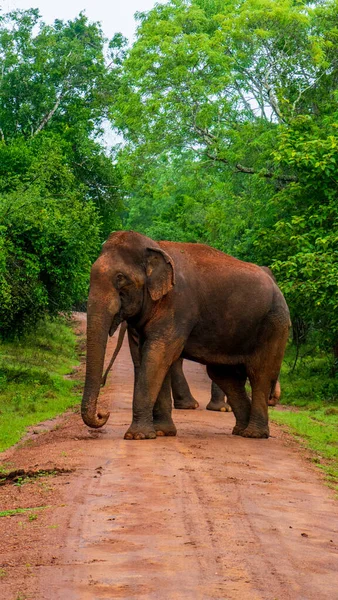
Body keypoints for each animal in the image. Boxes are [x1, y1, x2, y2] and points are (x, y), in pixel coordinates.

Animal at [82, 230, 290, 440]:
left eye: (120, 278)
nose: (103, 414)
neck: (155, 246)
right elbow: (153, 357)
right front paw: (162, 432)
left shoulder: (177, 306)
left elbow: (158, 355)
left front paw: (137, 436)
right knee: (225, 375)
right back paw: (240, 430)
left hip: (274, 324)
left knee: (259, 373)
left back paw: (254, 434)